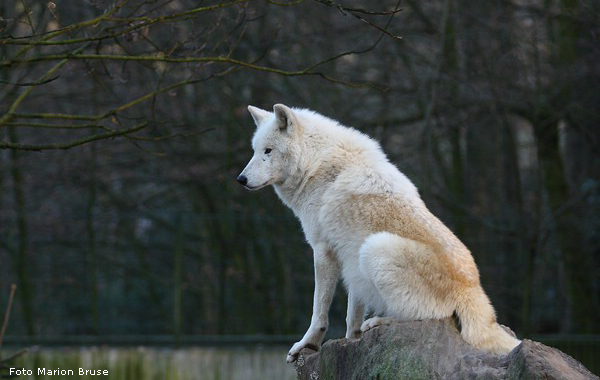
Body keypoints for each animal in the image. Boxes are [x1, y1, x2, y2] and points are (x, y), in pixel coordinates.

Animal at [237, 103, 516, 362]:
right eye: (255, 151)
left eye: (268, 151)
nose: (240, 179)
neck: (314, 164)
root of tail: (474, 291)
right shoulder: (349, 259)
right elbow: (351, 316)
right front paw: (351, 342)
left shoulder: (324, 250)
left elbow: (319, 311)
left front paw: (307, 344)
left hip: (375, 247)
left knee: (430, 317)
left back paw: (379, 322)